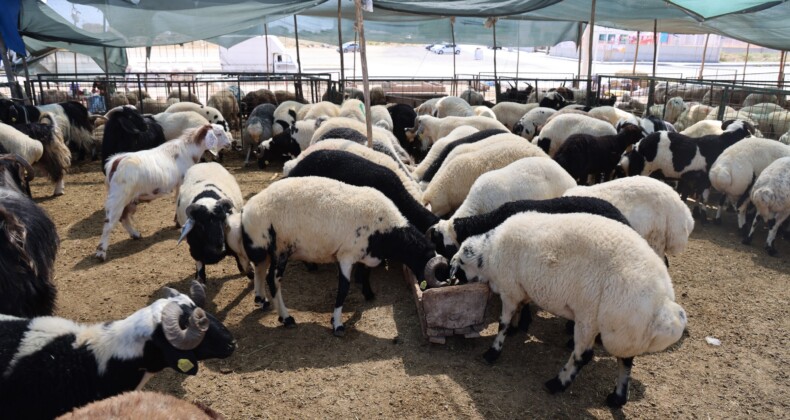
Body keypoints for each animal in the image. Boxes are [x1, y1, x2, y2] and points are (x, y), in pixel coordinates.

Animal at [96, 123, 232, 260]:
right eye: (219, 133)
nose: (230, 143)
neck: (187, 150)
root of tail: (115, 162)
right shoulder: (181, 183)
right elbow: (178, 201)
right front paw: (178, 222)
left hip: (129, 199)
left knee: (124, 217)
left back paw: (135, 234)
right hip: (118, 196)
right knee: (109, 222)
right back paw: (101, 253)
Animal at [452, 212, 688, 408]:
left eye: (460, 263)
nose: (453, 280)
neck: (490, 252)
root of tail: (662, 300)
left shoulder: (510, 290)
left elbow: (503, 323)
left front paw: (493, 351)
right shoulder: (522, 287)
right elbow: (522, 308)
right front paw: (518, 327)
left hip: (590, 318)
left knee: (583, 355)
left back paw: (557, 383)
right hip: (624, 330)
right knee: (626, 361)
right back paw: (617, 398)